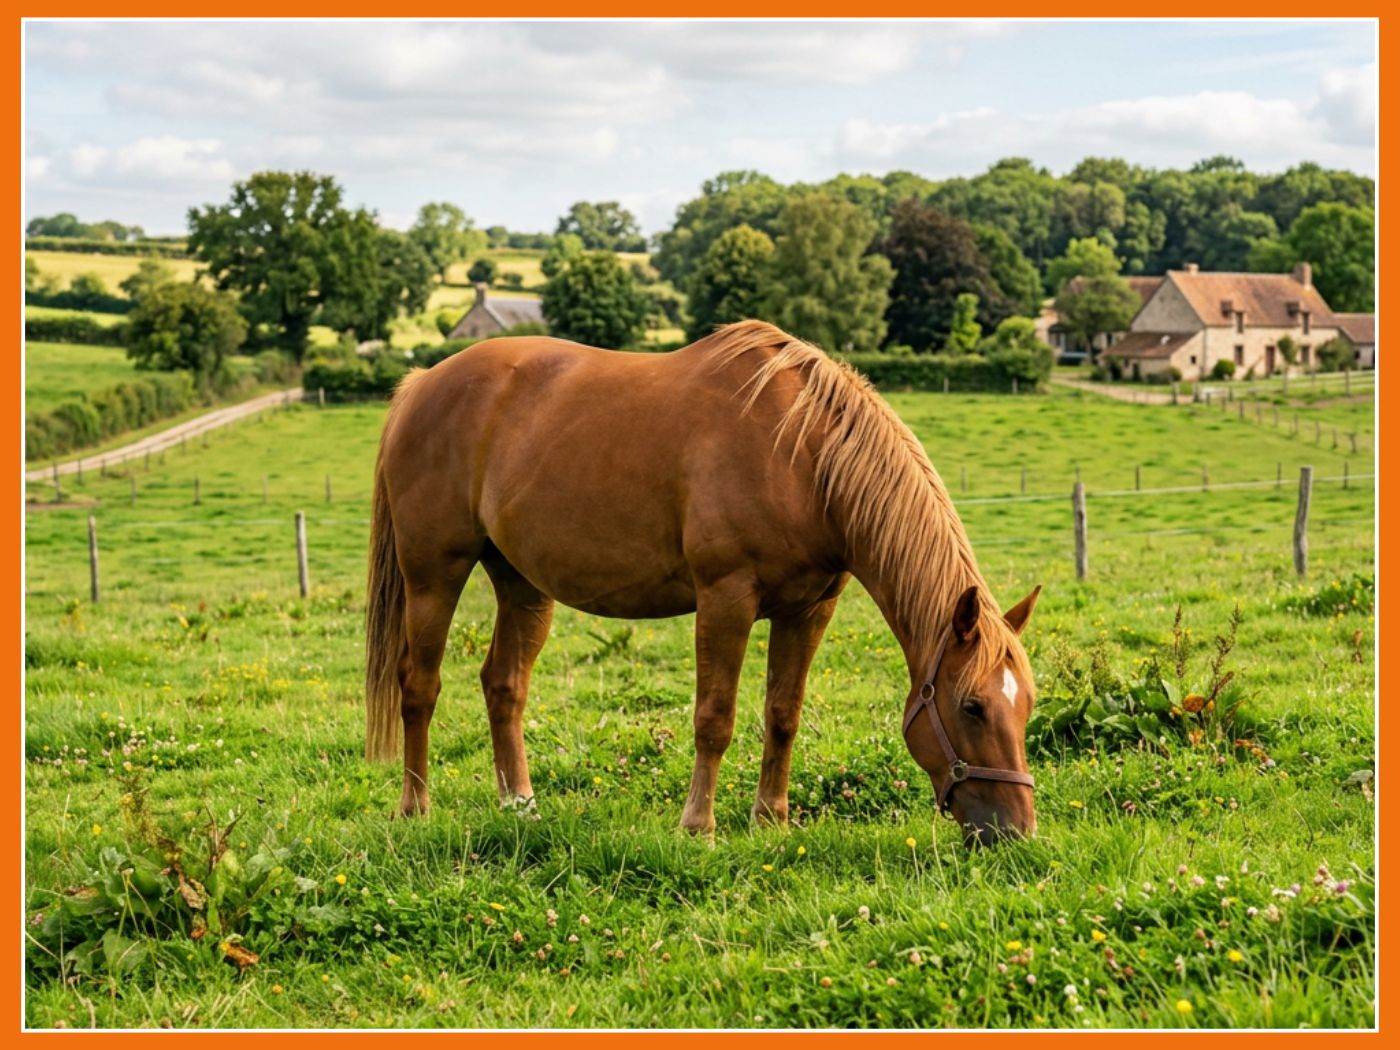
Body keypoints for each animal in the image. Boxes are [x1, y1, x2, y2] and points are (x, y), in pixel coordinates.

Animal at [364, 320, 1041, 846]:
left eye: (1027, 703)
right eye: (972, 706)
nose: (1016, 831)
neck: (802, 455)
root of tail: (422, 383)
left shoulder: (810, 609)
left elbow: (783, 714)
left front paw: (771, 819)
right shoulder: (726, 598)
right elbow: (714, 718)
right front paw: (698, 826)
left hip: (522, 583)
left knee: (504, 683)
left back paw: (520, 805)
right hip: (434, 573)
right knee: (418, 685)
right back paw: (415, 807)